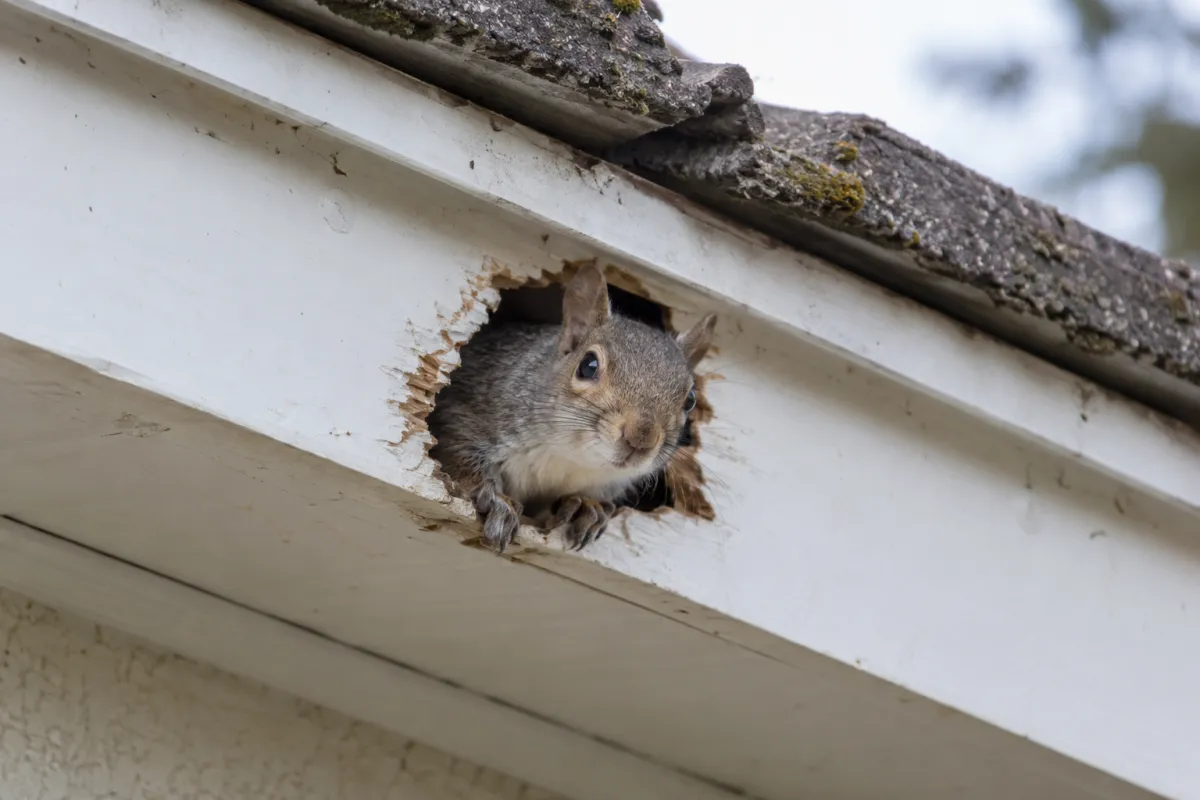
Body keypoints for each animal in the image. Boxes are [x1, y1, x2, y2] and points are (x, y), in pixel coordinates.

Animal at [429, 263, 716, 553]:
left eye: (690, 400)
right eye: (588, 365)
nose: (641, 438)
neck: (569, 458)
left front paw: (586, 506)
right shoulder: (466, 411)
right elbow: (460, 456)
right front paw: (498, 500)